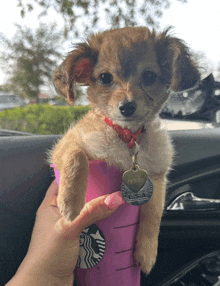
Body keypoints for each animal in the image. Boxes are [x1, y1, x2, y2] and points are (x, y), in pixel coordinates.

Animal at [49, 27, 200, 280]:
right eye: (105, 78)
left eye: (149, 76)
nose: (126, 107)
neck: (127, 136)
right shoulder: (66, 144)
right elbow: (77, 158)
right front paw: (70, 202)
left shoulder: (157, 177)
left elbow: (153, 215)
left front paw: (147, 253)